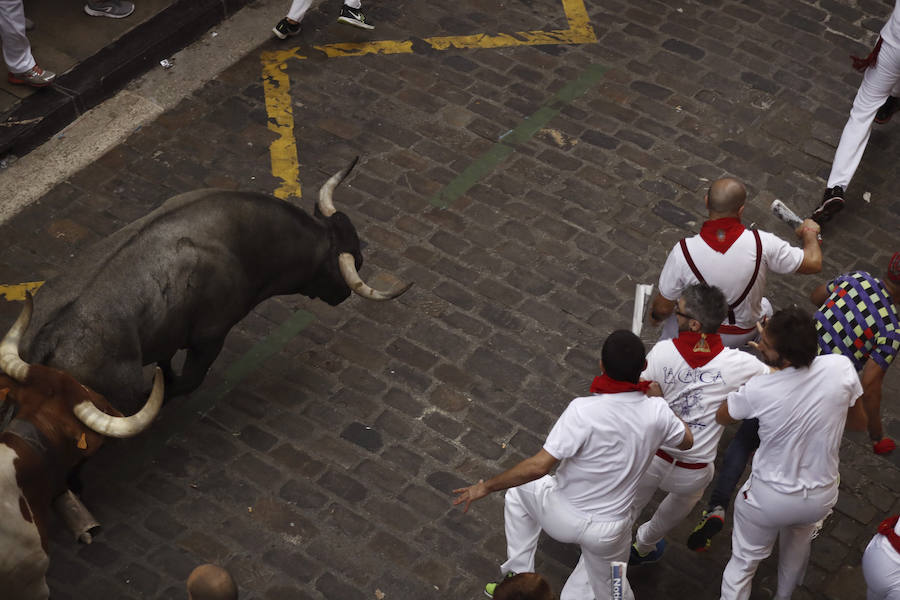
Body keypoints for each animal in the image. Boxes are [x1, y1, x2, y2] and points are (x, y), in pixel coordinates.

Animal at [19, 157, 410, 414]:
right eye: (355, 262)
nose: (343, 295)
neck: (242, 236)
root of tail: (48, 337)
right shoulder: (209, 337)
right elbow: (187, 381)